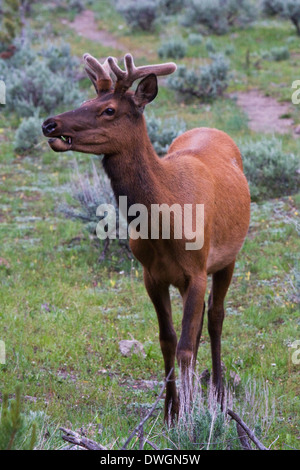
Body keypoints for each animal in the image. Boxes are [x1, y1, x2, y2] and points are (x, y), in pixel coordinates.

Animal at [42, 52, 251, 422]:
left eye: (109, 110)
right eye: (85, 101)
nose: (50, 124)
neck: (165, 224)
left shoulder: (197, 270)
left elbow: (185, 346)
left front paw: (189, 416)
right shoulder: (151, 275)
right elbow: (168, 340)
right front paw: (170, 412)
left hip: (229, 257)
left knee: (216, 317)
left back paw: (219, 393)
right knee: (200, 324)